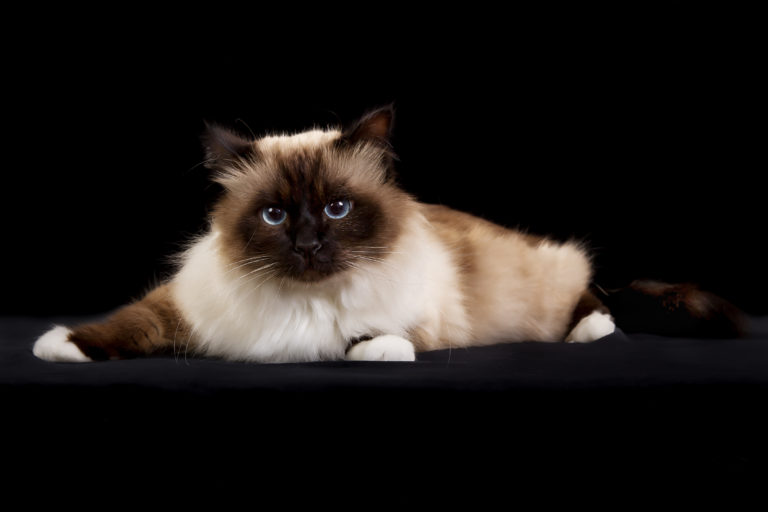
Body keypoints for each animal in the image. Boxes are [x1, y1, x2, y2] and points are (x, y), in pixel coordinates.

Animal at [31, 106, 744, 362]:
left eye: (338, 208)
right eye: (274, 216)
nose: (308, 244)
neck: (303, 300)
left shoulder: (420, 316)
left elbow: (373, 335)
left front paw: (371, 349)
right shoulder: (184, 306)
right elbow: (130, 322)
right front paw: (61, 345)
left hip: (549, 281)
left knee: (592, 289)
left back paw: (591, 330)